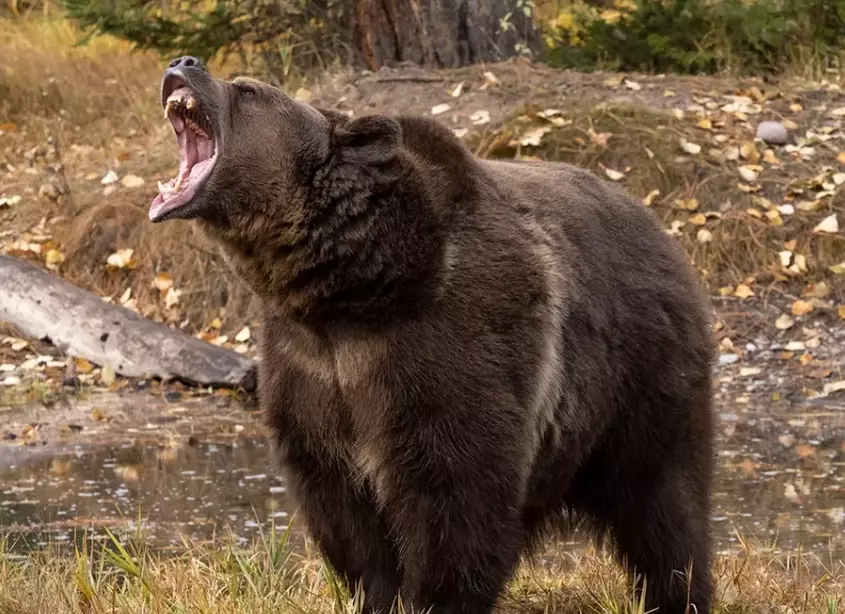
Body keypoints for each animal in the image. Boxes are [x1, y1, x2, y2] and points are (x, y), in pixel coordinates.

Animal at [149, 55, 715, 614]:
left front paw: (434, 597)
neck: (350, 291)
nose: (184, 62)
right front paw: (377, 593)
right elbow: (342, 509)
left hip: (641, 376)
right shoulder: (310, 370)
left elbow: (454, 496)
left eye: (248, 91)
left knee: (664, 505)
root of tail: (660, 227)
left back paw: (677, 593)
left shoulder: (444, 347)